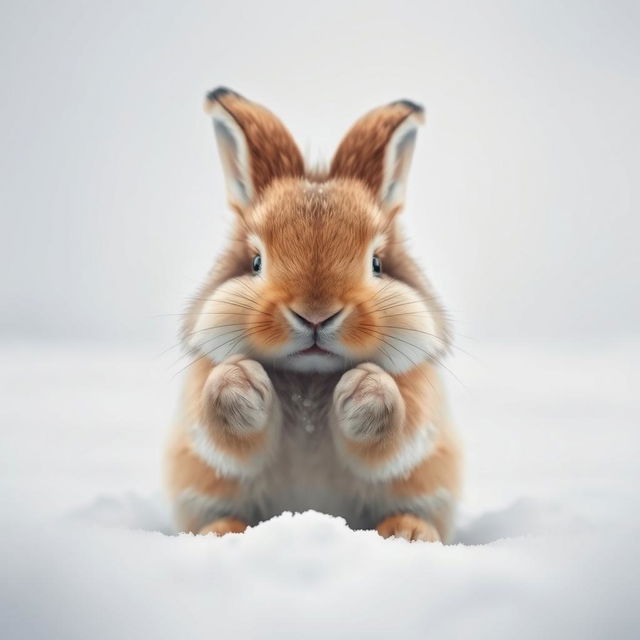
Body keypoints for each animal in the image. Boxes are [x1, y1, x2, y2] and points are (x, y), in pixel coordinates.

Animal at [164, 87, 460, 544]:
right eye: (255, 262)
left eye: (377, 263)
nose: (316, 315)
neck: (311, 377)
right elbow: (227, 432)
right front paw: (238, 379)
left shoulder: (418, 402)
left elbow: (394, 433)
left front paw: (366, 386)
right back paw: (220, 532)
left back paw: (408, 531)